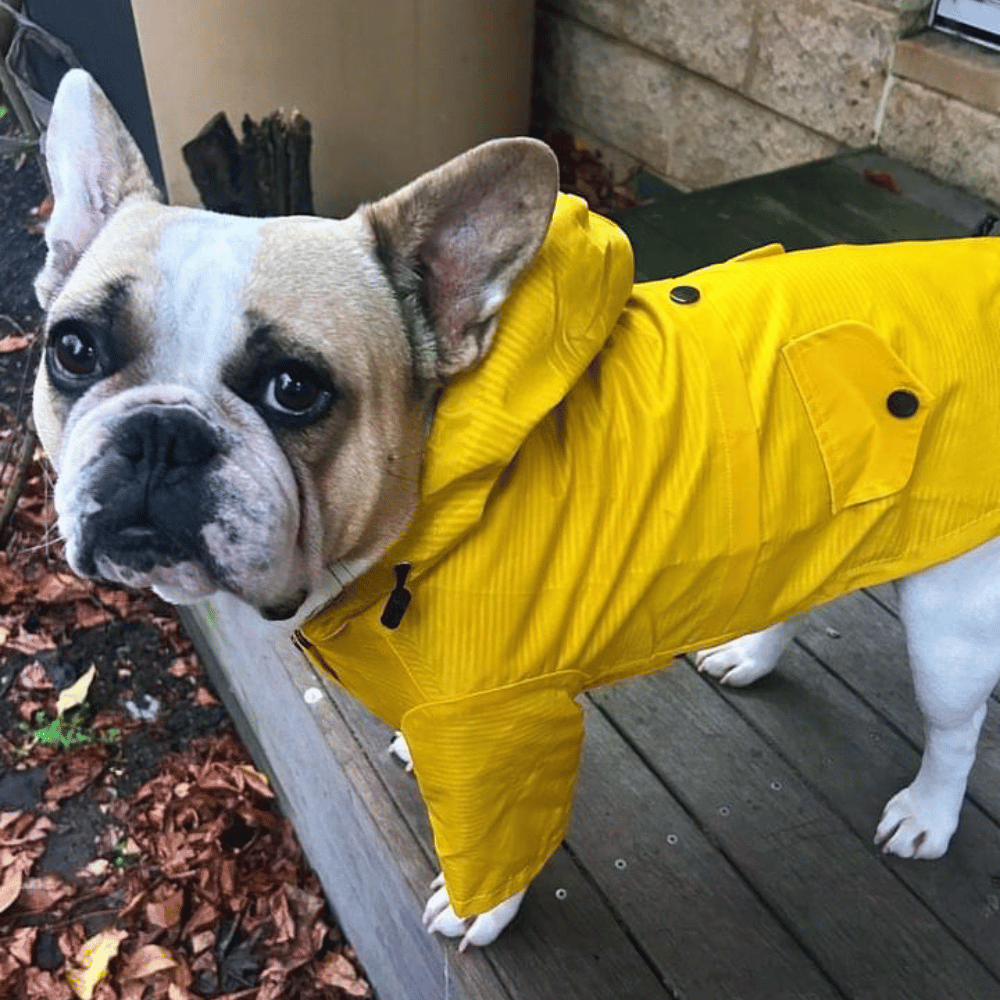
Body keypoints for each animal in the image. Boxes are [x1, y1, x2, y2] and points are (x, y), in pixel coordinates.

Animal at [35, 68, 1000, 944]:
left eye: (295, 390)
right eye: (71, 350)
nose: (162, 433)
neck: (424, 501)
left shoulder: (507, 731)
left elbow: (495, 842)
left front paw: (478, 913)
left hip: (951, 621)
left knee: (955, 724)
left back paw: (928, 813)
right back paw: (752, 656)